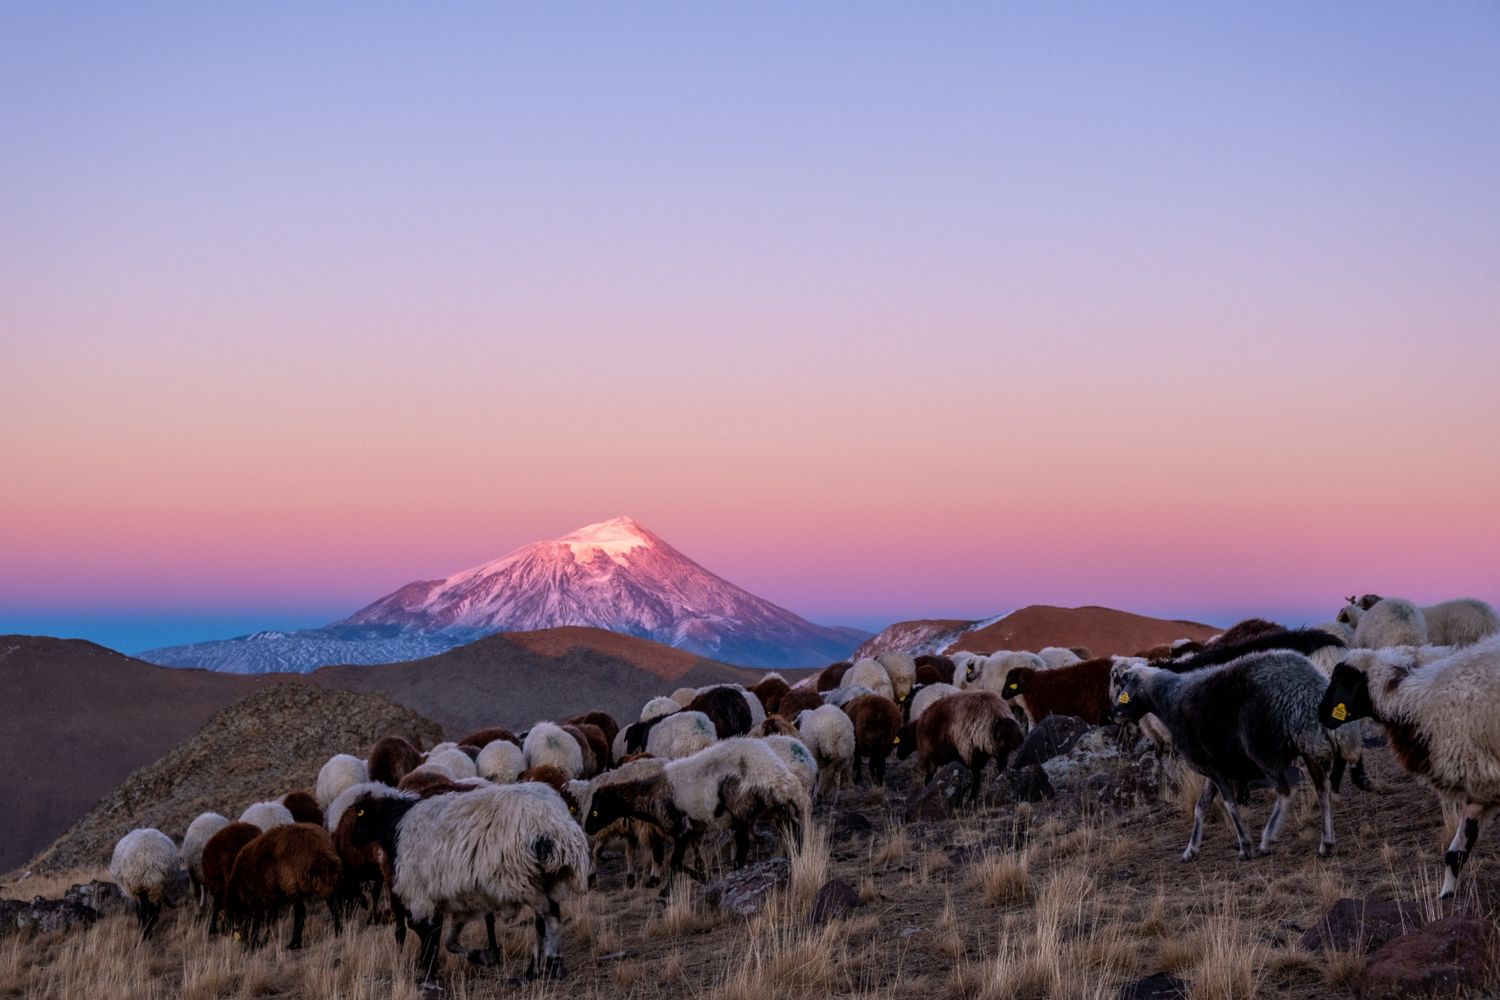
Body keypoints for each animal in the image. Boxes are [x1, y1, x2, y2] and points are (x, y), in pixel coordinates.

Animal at [348, 779, 588, 983]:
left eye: (360, 812)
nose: (353, 839)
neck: (395, 825)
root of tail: (554, 827)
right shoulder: (454, 896)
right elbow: (445, 937)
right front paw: (476, 956)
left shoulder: (420, 893)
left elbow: (426, 931)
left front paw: (428, 971)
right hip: (544, 880)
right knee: (544, 920)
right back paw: (537, 969)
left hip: (522, 880)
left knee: (550, 916)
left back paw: (550, 963)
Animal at [1320, 638, 1500, 905]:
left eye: (1340, 680)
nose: (1320, 713)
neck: (1418, 706)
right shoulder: (1480, 785)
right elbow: (1456, 852)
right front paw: (1446, 895)